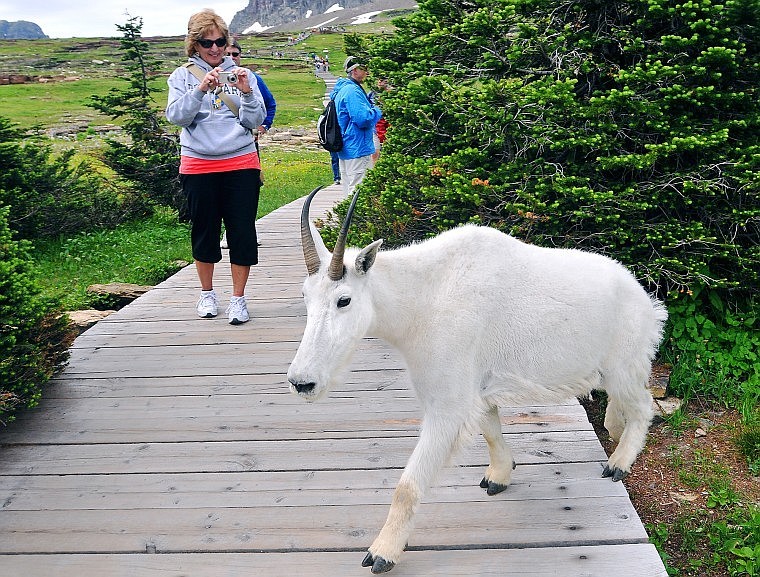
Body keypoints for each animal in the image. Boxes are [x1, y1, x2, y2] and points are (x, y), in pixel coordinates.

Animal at [288, 186, 668, 572]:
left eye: (344, 300)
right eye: (305, 296)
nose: (302, 383)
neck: (423, 299)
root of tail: (646, 301)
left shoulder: (448, 404)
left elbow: (408, 486)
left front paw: (382, 553)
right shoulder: (478, 391)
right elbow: (491, 430)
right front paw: (499, 476)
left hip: (624, 367)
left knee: (643, 406)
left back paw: (618, 463)